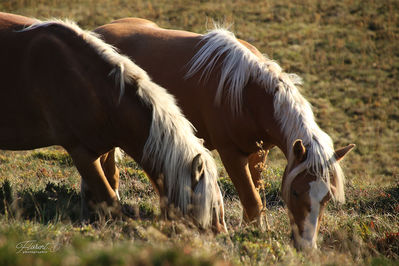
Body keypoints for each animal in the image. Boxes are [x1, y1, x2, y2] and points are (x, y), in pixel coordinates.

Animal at [0, 13, 225, 232]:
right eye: (210, 206)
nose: (222, 236)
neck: (88, 85)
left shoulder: (104, 147)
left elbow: (107, 185)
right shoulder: (80, 152)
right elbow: (109, 198)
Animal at [94, 18, 356, 249]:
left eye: (327, 198)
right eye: (295, 191)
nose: (307, 246)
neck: (249, 94)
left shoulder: (259, 154)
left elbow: (255, 194)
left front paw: (252, 229)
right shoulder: (231, 154)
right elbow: (252, 199)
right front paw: (254, 233)